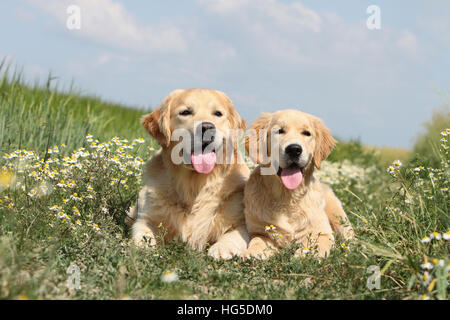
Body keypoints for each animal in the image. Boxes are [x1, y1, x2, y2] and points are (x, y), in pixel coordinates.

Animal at [125, 89, 250, 258]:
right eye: (185, 112)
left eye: (218, 113)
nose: (207, 127)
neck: (194, 185)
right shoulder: (146, 218)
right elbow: (142, 234)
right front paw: (142, 249)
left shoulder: (245, 222)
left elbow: (235, 235)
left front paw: (221, 249)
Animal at [241, 110, 354, 260]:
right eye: (279, 131)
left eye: (306, 133)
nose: (294, 149)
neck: (287, 197)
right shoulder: (260, 231)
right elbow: (258, 241)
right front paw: (252, 253)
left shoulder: (322, 232)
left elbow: (316, 245)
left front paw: (304, 255)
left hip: (339, 217)